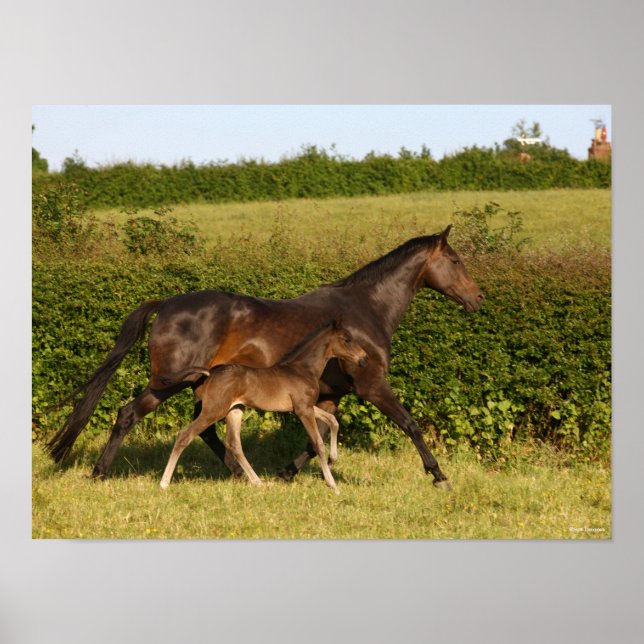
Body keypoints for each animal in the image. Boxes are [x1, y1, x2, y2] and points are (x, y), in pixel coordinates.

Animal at [158, 318, 368, 493]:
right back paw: (164, 482)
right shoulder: (303, 410)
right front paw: (332, 484)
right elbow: (317, 442)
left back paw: (258, 481)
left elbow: (333, 421)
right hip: (214, 410)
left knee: (234, 443)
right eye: (347, 339)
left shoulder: (306, 406)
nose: (364, 358)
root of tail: (210, 373)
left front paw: (333, 461)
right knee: (185, 434)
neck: (303, 369)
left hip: (235, 410)